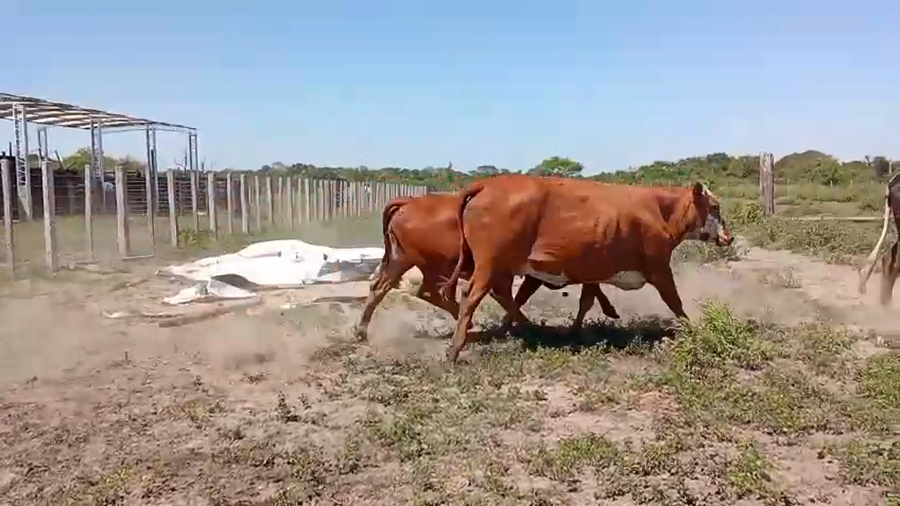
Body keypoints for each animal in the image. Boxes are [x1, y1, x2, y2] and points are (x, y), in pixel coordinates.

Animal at [354, 193, 621, 342]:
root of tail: (409, 202)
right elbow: (588, 297)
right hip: (435, 265)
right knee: (431, 291)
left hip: (403, 260)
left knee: (381, 288)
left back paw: (361, 330)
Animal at [439, 174, 734, 364]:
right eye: (715, 206)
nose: (729, 237)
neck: (660, 210)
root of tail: (487, 184)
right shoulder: (659, 269)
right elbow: (675, 302)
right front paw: (692, 329)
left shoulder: (594, 271)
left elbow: (586, 301)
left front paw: (577, 331)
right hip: (490, 265)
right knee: (472, 297)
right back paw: (456, 349)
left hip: (500, 267)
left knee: (504, 295)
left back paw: (528, 329)